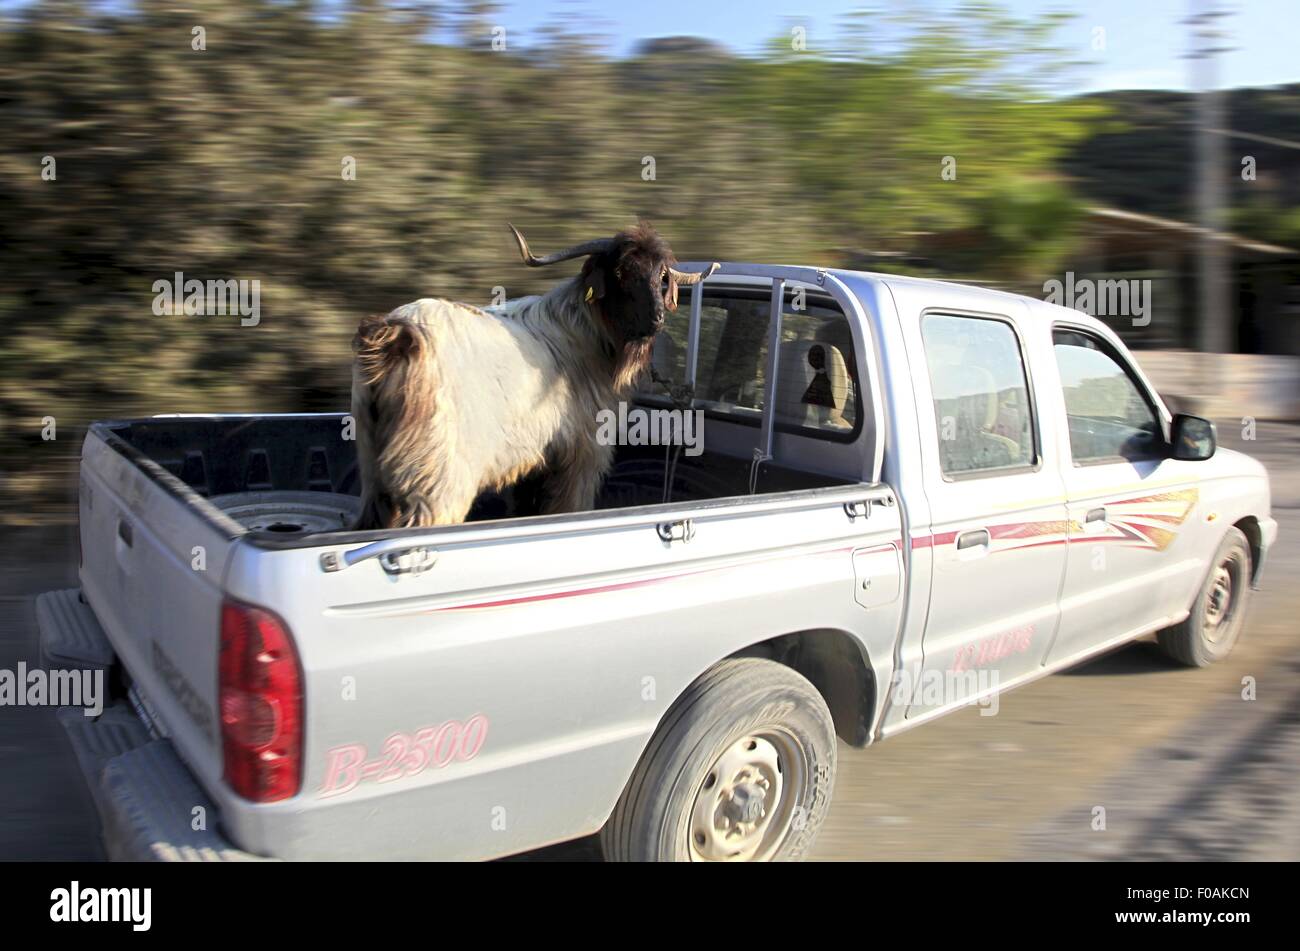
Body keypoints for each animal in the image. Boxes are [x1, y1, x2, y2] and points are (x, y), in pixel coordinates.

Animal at [351, 226, 717, 530]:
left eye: (661, 276)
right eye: (619, 272)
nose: (656, 319)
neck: (585, 334)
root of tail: (398, 334)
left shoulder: (536, 459)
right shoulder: (583, 453)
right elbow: (568, 509)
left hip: (374, 469)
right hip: (438, 476)